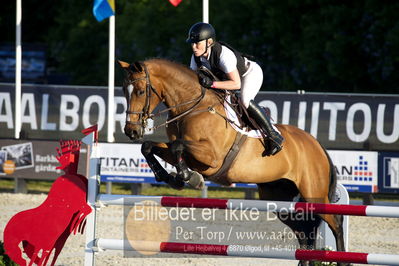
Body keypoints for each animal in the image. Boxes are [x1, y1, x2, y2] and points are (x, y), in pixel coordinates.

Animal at [119, 58, 346, 266]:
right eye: (123, 90)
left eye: (140, 91)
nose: (131, 131)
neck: (192, 107)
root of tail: (315, 143)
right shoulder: (189, 152)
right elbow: (149, 147)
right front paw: (169, 177)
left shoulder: (211, 156)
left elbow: (177, 147)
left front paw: (189, 177)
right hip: (279, 197)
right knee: (305, 231)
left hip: (314, 193)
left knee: (335, 222)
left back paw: (343, 260)